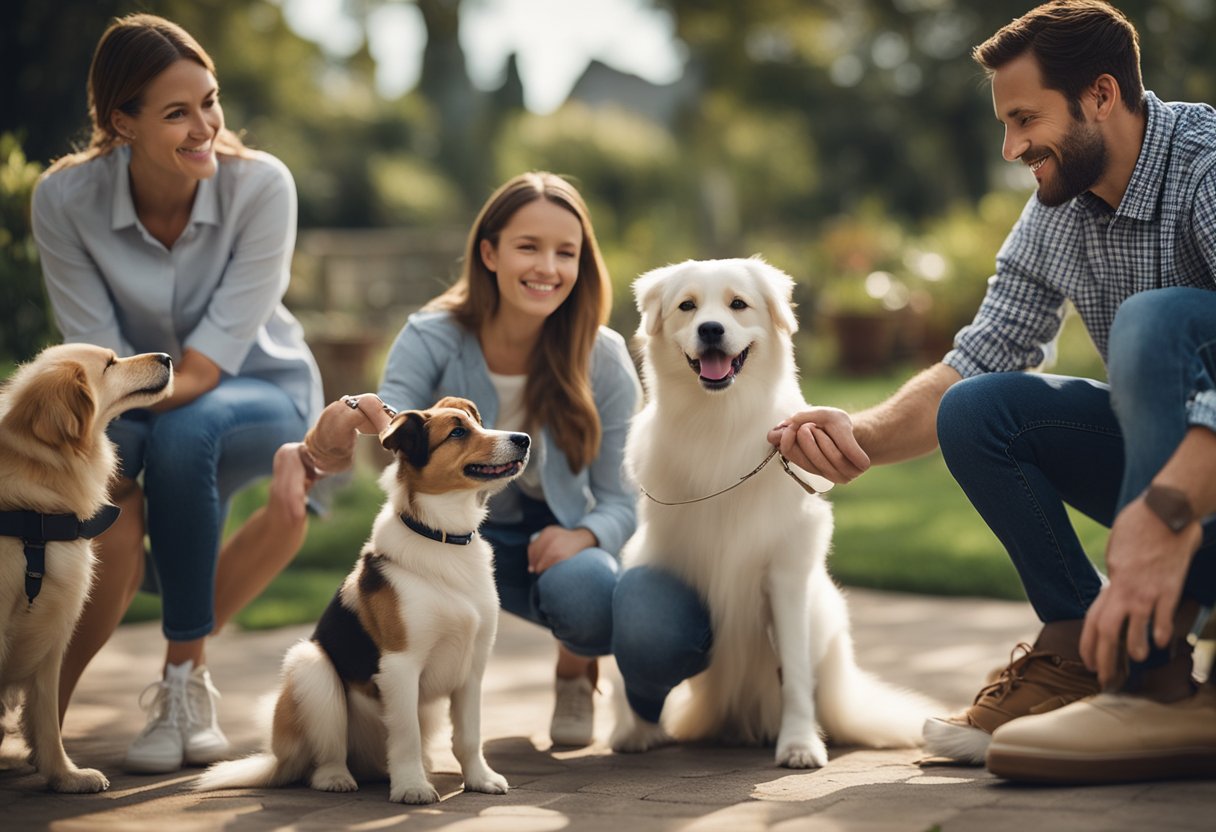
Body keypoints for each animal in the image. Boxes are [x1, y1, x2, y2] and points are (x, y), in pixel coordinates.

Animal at [195, 398, 527, 802]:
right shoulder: (401, 665)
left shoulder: (473, 667)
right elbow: (406, 736)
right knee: (327, 755)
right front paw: (412, 787)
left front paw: (479, 779)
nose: (524, 439)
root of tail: (279, 758)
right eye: (458, 432)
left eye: (477, 423)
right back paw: (337, 778)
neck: (441, 536)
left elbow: (469, 735)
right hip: (311, 668)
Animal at [612, 257, 933, 768]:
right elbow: (629, 662)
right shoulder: (659, 558)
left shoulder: (784, 574)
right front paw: (636, 729)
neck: (718, 424)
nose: (711, 329)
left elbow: (797, 676)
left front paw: (799, 744)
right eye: (687, 306)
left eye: (738, 304)